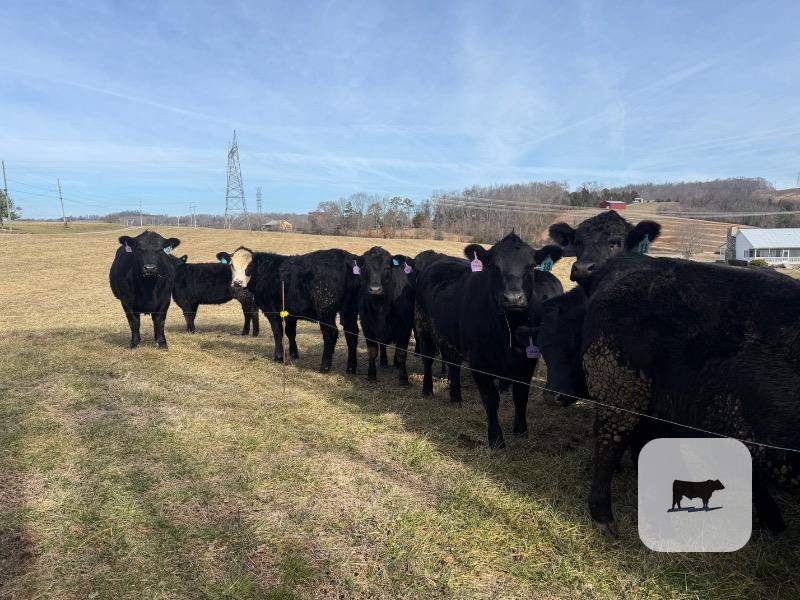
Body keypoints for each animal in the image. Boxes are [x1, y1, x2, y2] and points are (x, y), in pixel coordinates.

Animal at [215, 246, 360, 373]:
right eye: (232, 265)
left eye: (250, 266)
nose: (237, 282)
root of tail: (346, 258)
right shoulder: (291, 311)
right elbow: (290, 332)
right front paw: (294, 354)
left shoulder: (272, 310)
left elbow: (278, 332)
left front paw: (279, 357)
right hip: (349, 310)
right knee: (351, 333)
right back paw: (351, 367)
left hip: (326, 310)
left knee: (331, 333)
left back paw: (324, 367)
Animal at [355, 247, 416, 385]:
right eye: (365, 268)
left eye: (387, 268)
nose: (375, 289)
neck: (381, 306)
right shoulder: (367, 327)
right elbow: (372, 352)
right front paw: (371, 376)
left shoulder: (405, 328)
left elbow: (401, 353)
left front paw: (403, 378)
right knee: (382, 345)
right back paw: (383, 361)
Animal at [414, 232, 564, 448]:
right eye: (493, 266)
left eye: (530, 266)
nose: (513, 298)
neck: (508, 330)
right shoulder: (479, 362)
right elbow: (490, 399)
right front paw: (496, 439)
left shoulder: (528, 362)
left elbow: (521, 396)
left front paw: (521, 432)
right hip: (422, 325)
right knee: (427, 358)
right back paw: (427, 390)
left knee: (453, 365)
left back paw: (456, 398)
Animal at [535, 252, 800, 536]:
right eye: (542, 349)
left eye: (571, 348)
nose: (552, 397)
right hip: (621, 393)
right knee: (608, 448)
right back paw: (603, 515)